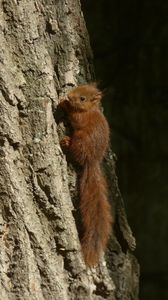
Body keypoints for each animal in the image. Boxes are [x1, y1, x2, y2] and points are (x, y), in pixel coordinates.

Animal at [59, 83, 112, 266]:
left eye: (82, 99)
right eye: (79, 86)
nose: (69, 96)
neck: (91, 109)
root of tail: (92, 161)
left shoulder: (83, 118)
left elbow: (76, 118)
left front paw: (64, 104)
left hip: (81, 141)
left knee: (74, 152)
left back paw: (66, 143)